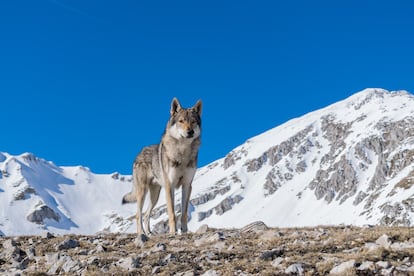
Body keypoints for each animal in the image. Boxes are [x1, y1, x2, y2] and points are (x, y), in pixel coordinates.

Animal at [121, 97, 202, 237]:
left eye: (193, 121)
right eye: (181, 121)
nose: (190, 131)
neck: (183, 152)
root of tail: (139, 153)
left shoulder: (187, 185)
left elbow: (184, 213)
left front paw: (184, 232)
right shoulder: (170, 185)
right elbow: (172, 213)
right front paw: (173, 232)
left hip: (155, 196)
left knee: (146, 214)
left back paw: (149, 233)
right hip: (142, 192)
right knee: (138, 215)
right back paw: (141, 234)